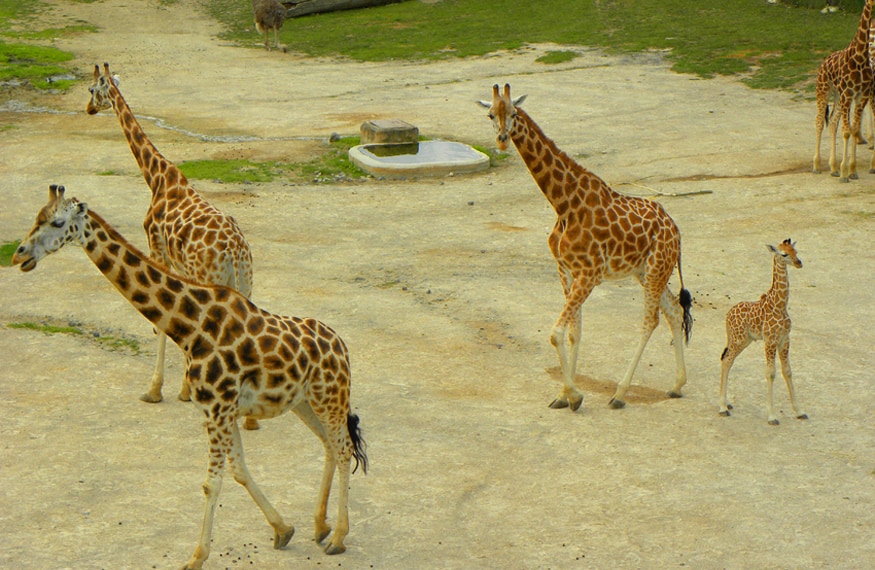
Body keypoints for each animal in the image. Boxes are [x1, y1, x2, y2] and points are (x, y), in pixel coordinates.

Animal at [13, 185, 370, 568]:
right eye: (36, 216)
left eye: (57, 222)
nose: (19, 255)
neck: (191, 326)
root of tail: (341, 346)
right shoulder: (220, 410)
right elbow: (239, 471)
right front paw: (283, 529)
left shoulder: (219, 408)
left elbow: (212, 483)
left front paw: (196, 557)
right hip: (304, 403)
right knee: (329, 446)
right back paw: (320, 526)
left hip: (330, 397)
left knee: (344, 448)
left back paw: (338, 537)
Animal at [86, 61, 264, 426]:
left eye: (91, 89)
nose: (87, 108)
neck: (155, 177)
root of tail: (236, 253)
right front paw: (182, 389)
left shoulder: (157, 250)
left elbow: (163, 321)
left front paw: (156, 390)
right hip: (246, 283)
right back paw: (250, 417)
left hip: (212, 279)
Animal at [720, 237, 808, 424]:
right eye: (784, 254)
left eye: (796, 251)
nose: (799, 263)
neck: (780, 306)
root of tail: (728, 315)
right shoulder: (770, 340)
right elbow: (771, 373)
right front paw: (772, 416)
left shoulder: (785, 339)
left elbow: (787, 371)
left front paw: (799, 411)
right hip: (739, 339)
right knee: (726, 361)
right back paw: (722, 407)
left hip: (743, 340)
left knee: (727, 360)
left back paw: (727, 403)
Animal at [816, 0, 875, 181]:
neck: (860, 57)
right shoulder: (849, 95)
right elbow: (847, 132)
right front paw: (845, 172)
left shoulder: (860, 95)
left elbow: (853, 130)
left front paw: (852, 170)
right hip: (824, 91)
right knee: (819, 122)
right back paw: (817, 166)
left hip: (838, 97)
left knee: (832, 123)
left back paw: (833, 167)